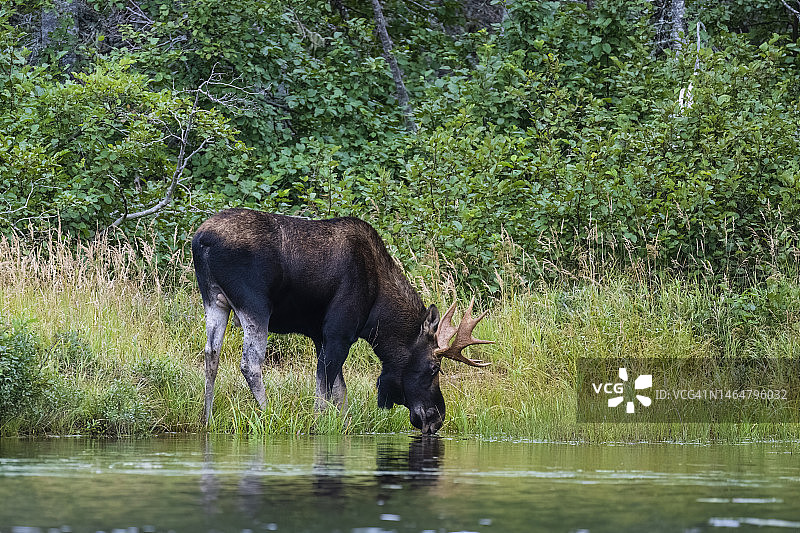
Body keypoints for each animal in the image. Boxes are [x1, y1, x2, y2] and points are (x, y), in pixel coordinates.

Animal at [192, 208, 494, 432]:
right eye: (434, 367)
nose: (436, 417)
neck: (377, 315)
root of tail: (201, 240)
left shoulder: (320, 335)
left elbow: (339, 391)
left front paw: (345, 428)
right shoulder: (339, 332)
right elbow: (325, 389)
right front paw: (317, 426)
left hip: (214, 300)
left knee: (211, 354)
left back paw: (207, 419)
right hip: (255, 305)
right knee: (250, 364)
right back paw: (269, 415)